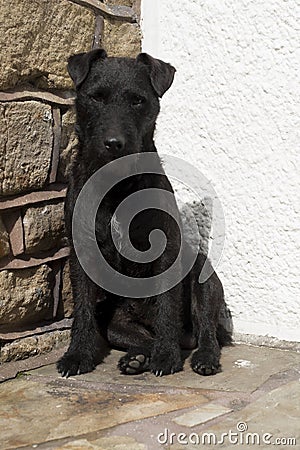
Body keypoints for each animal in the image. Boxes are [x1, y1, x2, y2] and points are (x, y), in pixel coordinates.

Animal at [56, 49, 232, 378]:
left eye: (138, 100)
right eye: (96, 97)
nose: (114, 144)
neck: (117, 185)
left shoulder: (166, 252)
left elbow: (166, 306)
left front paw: (166, 358)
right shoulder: (82, 253)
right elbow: (82, 308)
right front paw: (78, 355)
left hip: (204, 278)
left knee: (206, 330)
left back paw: (200, 357)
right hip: (116, 325)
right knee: (142, 338)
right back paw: (137, 358)